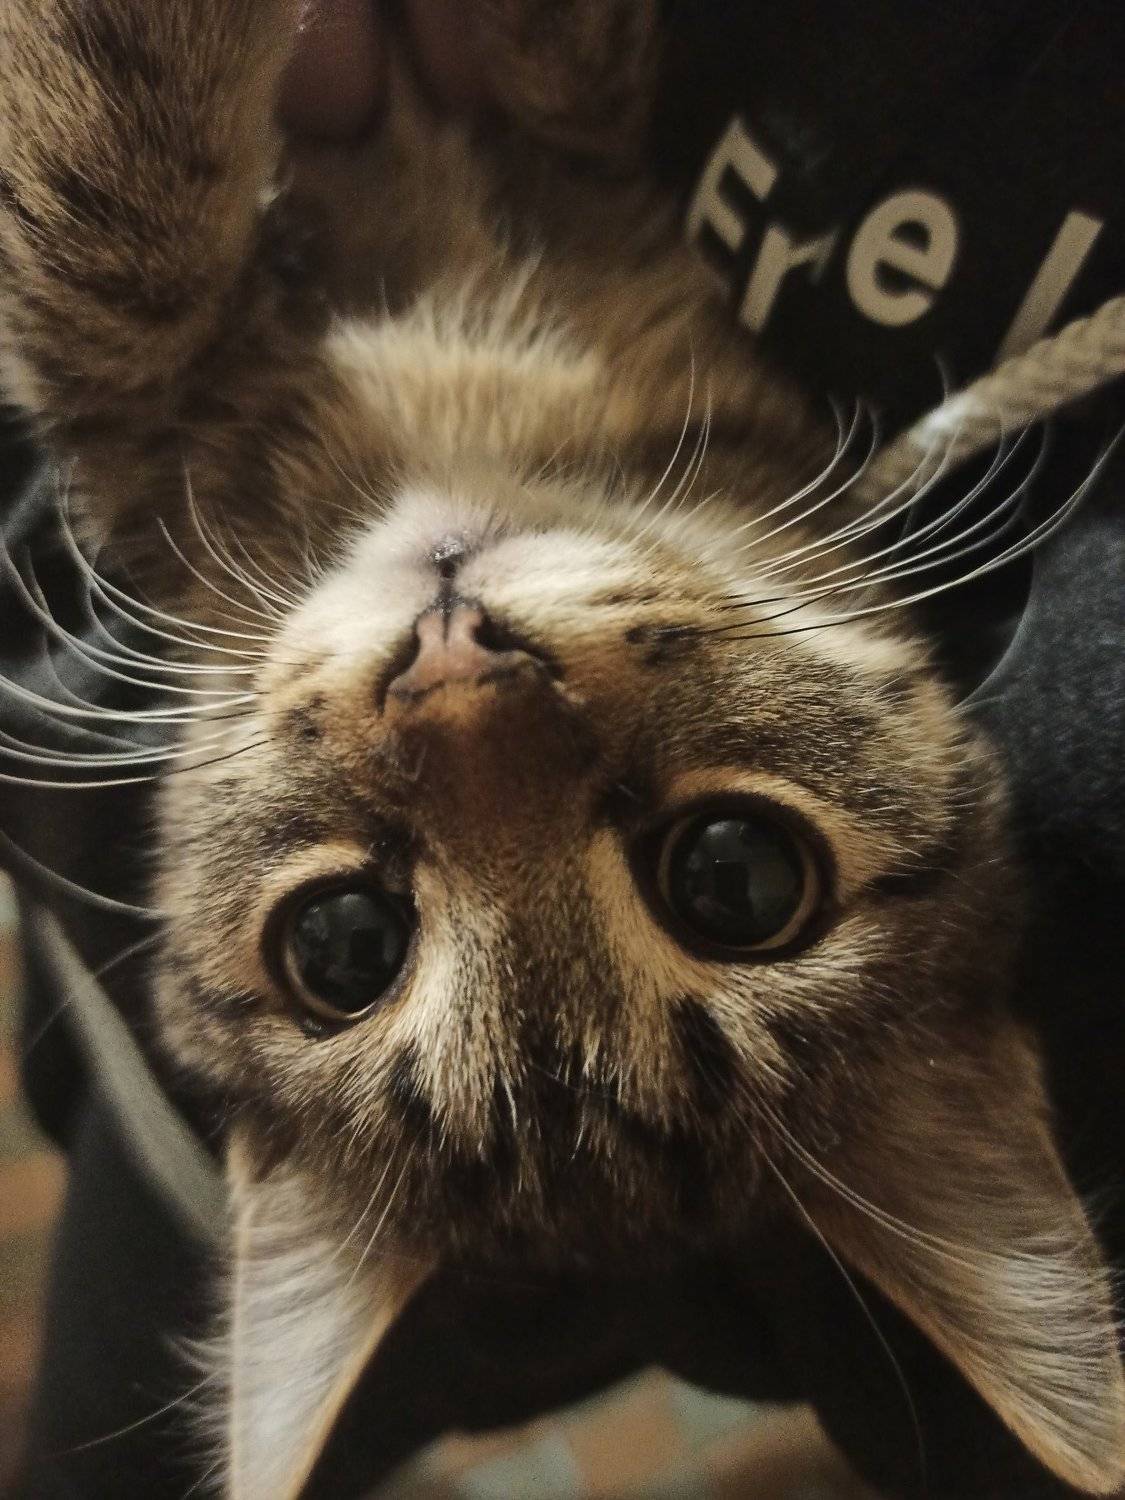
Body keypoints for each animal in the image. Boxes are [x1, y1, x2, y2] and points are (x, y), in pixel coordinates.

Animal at [0, 3, 1123, 1498]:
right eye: (344, 945)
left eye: (735, 876)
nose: (451, 661)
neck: (491, 429)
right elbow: (116, 243)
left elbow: (110, 228)